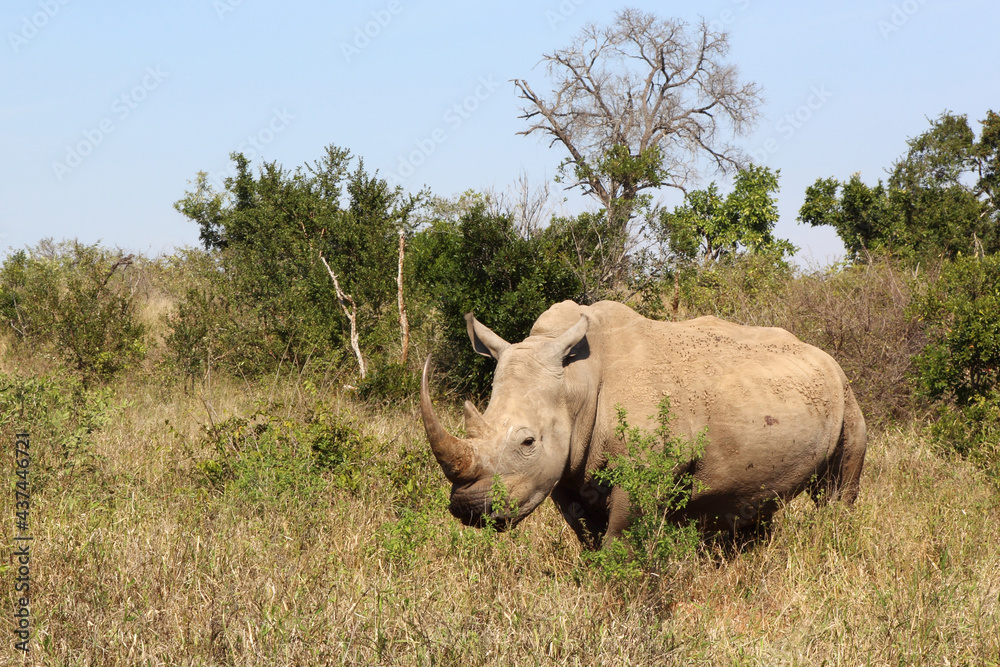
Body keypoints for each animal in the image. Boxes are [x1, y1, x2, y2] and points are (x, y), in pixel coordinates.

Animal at [420, 300, 866, 549]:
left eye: (528, 442)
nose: (468, 509)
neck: (577, 383)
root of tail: (825, 356)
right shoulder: (565, 470)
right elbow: (588, 536)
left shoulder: (646, 470)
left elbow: (620, 539)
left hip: (846, 396)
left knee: (837, 491)